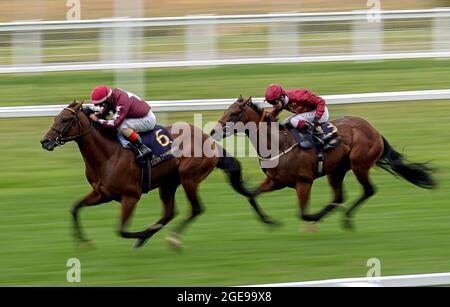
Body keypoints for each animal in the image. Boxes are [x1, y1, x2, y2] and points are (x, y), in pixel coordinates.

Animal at [40, 102, 272, 249]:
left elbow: (122, 230)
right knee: (169, 213)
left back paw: (171, 239)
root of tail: (210, 140)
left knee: (196, 209)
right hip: (168, 183)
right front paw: (84, 242)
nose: (45, 141)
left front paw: (140, 235)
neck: (108, 154)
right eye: (56, 117)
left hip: (189, 178)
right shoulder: (102, 194)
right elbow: (75, 208)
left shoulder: (130, 196)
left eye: (66, 119)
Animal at [211, 97, 436, 230]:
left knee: (368, 190)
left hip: (359, 165)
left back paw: (345, 219)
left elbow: (303, 214)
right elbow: (251, 196)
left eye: (233, 113)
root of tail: (375, 131)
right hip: (336, 170)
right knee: (339, 196)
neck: (277, 144)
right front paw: (271, 221)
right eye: (227, 109)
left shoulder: (304, 182)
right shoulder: (276, 181)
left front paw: (312, 219)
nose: (213, 131)